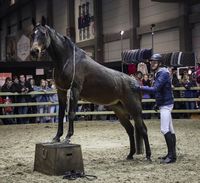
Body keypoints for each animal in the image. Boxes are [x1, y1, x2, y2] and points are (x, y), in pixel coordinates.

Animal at [30, 17, 150, 160]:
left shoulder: (74, 90)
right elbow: (60, 115)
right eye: (32, 34)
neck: (68, 60)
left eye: (43, 33)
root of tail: (135, 83)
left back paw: (148, 156)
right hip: (120, 110)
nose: (34, 51)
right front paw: (56, 137)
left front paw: (68, 137)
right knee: (130, 129)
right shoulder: (61, 91)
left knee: (143, 129)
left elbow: (71, 113)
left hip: (134, 110)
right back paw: (130, 155)